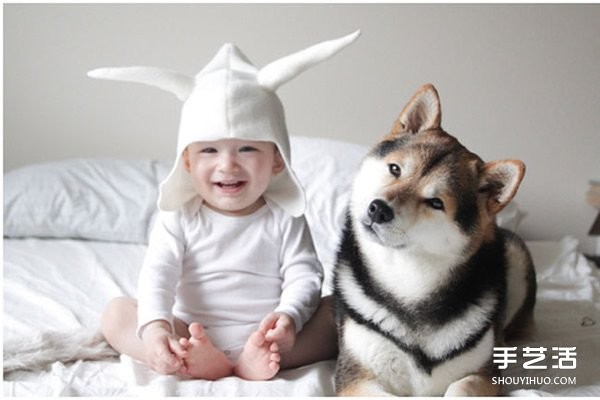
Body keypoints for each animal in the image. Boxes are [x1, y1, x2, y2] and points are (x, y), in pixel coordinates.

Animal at [336, 84, 536, 396]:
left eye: (436, 203)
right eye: (395, 169)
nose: (378, 209)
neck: (410, 283)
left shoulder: (484, 375)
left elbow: (460, 388)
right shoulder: (355, 377)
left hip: (515, 253)